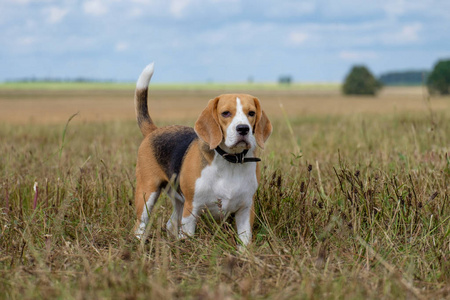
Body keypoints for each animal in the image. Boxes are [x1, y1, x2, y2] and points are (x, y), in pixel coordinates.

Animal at [133, 63, 270, 246]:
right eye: (226, 113)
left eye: (252, 113)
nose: (243, 129)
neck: (230, 161)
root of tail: (154, 130)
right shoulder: (192, 209)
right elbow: (188, 237)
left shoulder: (246, 210)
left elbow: (244, 242)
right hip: (147, 193)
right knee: (140, 225)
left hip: (178, 200)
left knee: (170, 224)